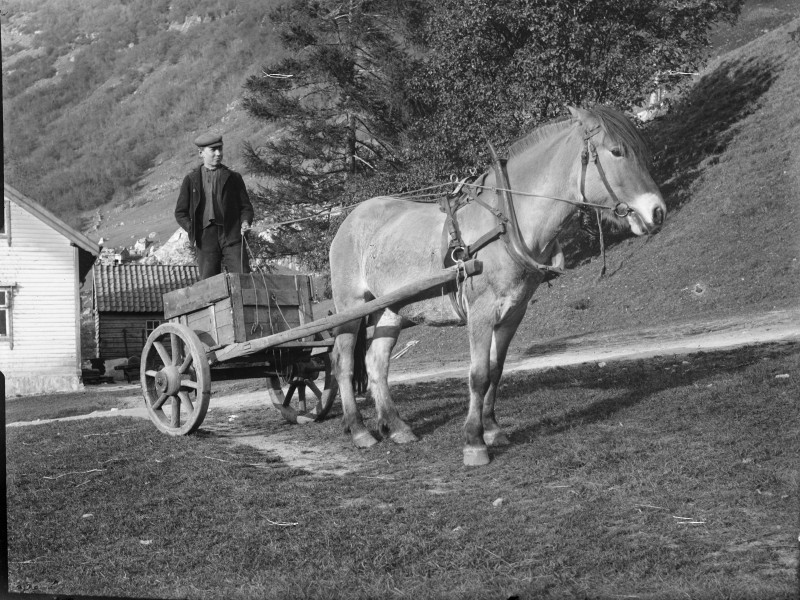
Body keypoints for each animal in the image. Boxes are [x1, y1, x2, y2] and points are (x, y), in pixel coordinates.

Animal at [328, 105, 664, 466]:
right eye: (616, 151)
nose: (658, 212)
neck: (505, 227)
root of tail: (350, 219)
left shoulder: (513, 313)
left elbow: (496, 369)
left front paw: (491, 428)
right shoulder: (481, 312)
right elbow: (478, 375)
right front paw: (474, 442)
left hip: (389, 309)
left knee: (376, 364)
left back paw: (397, 426)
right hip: (350, 308)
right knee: (344, 365)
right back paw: (359, 430)